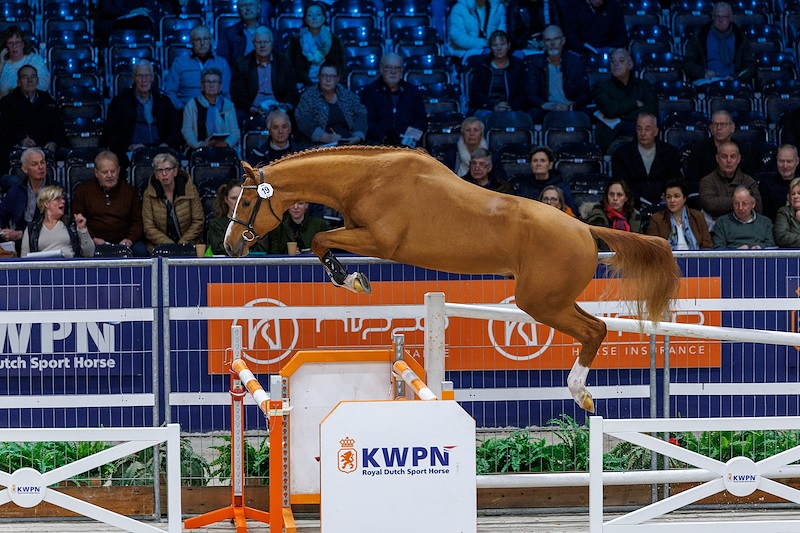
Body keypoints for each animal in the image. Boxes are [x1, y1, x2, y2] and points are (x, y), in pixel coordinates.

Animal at [224, 146, 681, 413]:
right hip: (554, 299)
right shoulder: (359, 232)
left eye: (246, 202)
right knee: (594, 326)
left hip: (541, 303)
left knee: (595, 329)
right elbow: (322, 240)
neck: (367, 179)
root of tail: (585, 228)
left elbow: (320, 238)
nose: (229, 246)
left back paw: (580, 392)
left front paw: (349, 278)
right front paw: (350, 277)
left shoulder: (378, 240)